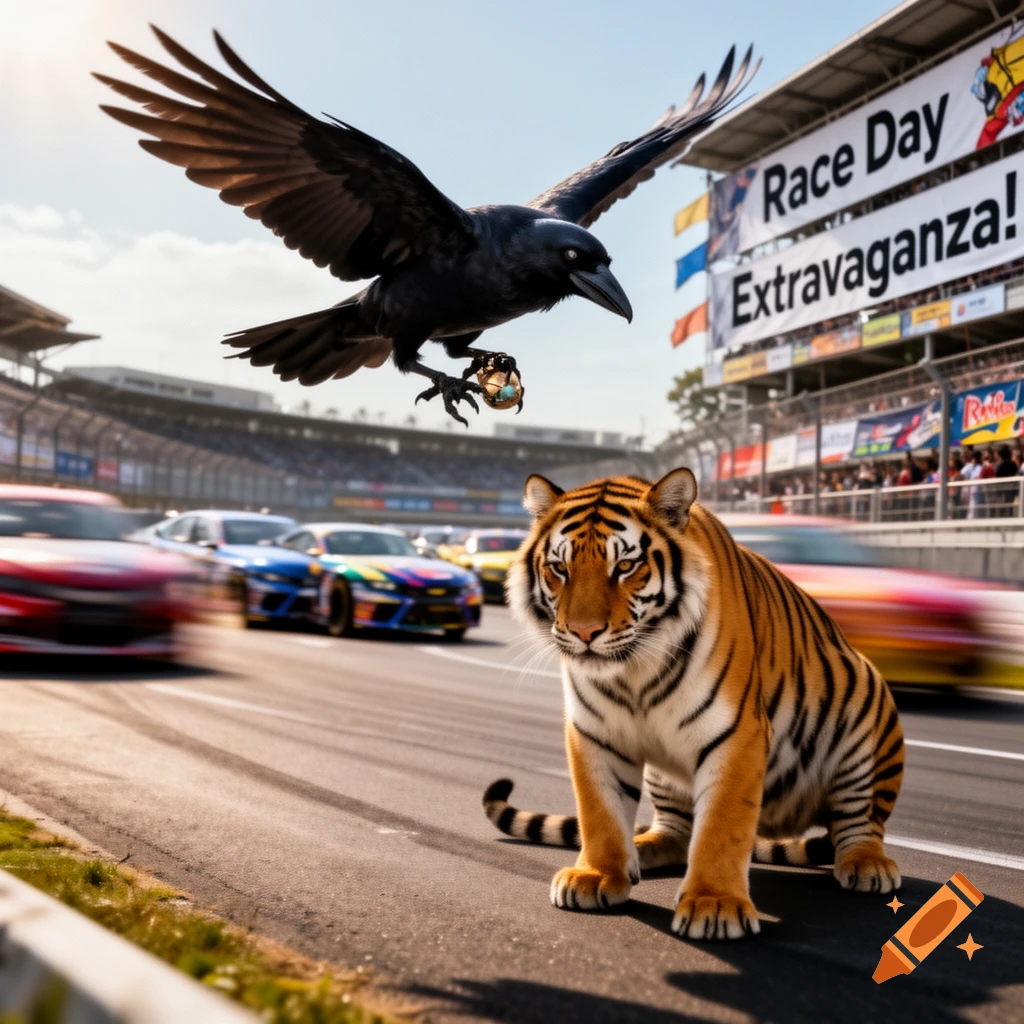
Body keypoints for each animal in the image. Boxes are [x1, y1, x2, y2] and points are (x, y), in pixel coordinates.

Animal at [485, 468, 904, 940]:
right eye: (560, 568)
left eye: (625, 566)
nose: (584, 632)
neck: (634, 672)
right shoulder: (595, 731)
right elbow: (600, 810)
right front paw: (596, 875)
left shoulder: (737, 733)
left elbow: (721, 825)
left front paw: (714, 904)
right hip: (666, 778)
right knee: (676, 833)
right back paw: (641, 849)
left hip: (867, 720)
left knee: (859, 820)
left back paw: (868, 864)